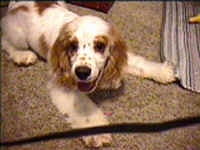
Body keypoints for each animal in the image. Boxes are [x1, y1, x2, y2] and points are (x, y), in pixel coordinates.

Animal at [1, 1, 177, 148]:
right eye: (73, 46)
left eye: (100, 46)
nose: (82, 72)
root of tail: (15, 6)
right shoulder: (63, 83)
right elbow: (82, 105)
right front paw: (96, 132)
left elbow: (139, 63)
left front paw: (163, 71)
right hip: (19, 37)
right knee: (5, 42)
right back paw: (22, 56)